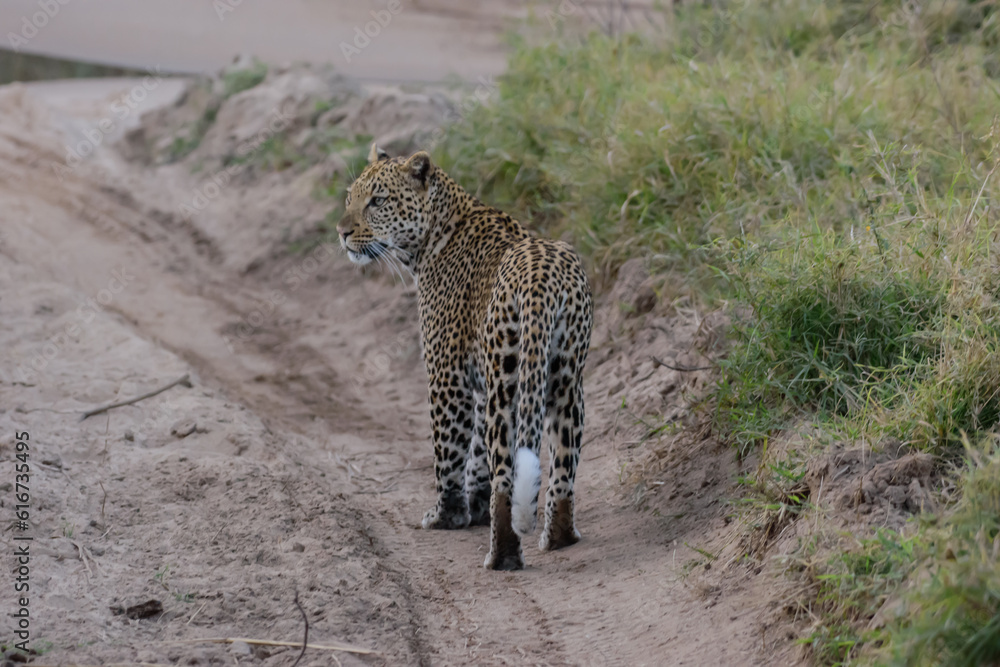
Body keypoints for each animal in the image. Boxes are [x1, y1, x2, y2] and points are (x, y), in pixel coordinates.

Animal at [337, 144, 593, 570]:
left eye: (377, 201)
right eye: (349, 198)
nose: (341, 234)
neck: (429, 241)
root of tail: (541, 277)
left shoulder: (447, 377)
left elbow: (449, 452)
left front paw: (448, 515)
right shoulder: (477, 383)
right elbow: (474, 456)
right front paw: (473, 506)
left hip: (507, 383)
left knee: (506, 472)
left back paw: (501, 557)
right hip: (565, 378)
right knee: (562, 465)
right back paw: (559, 538)